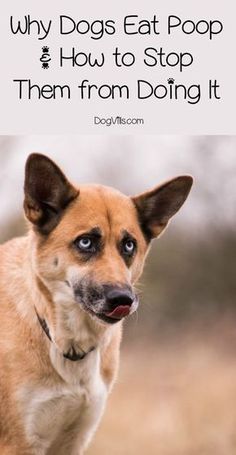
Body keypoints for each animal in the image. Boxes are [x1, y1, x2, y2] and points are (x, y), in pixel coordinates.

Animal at [0, 155, 193, 454]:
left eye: (129, 245)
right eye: (85, 242)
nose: (123, 299)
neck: (67, 344)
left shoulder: (74, 440)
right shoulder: (19, 443)